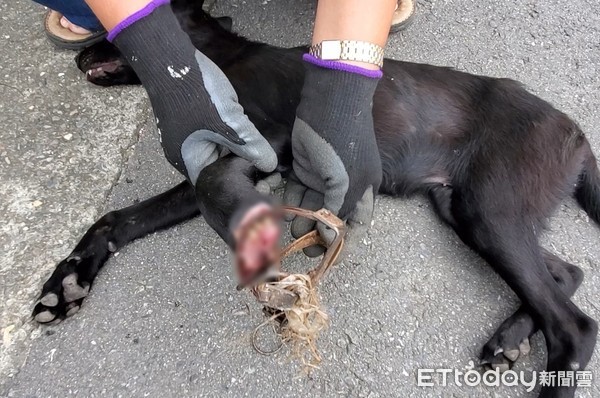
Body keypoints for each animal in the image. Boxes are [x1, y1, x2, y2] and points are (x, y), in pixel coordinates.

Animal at [32, 1, 600, 396]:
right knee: (566, 273)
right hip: (467, 209)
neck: (221, 59)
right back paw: (511, 338)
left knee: (575, 325)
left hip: (490, 210)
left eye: (112, 37)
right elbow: (116, 219)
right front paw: (68, 281)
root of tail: (575, 131)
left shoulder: (274, 139)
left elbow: (215, 185)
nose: (80, 55)